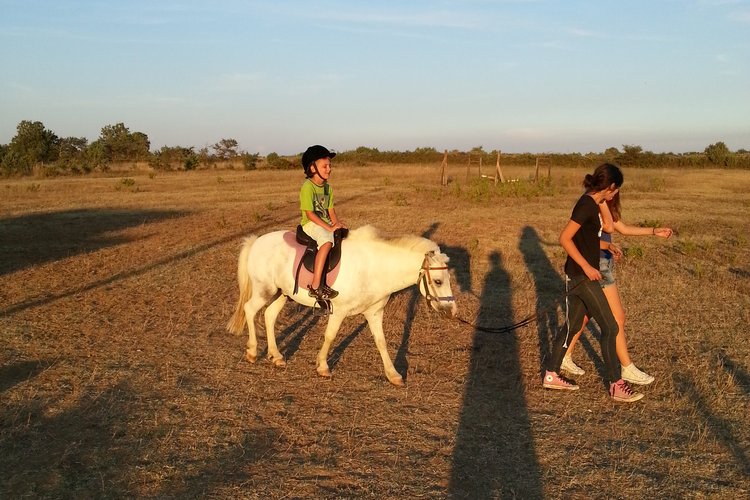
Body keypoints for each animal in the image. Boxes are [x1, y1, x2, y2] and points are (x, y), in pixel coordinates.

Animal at [226, 227, 458, 386]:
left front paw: (393, 375)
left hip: (282, 293)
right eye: (438, 281)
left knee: (269, 316)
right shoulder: (339, 311)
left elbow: (381, 342)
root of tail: (257, 241)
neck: (373, 267)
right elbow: (330, 336)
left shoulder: (374, 313)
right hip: (264, 290)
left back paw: (277, 357)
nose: (453, 311)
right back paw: (253, 352)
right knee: (249, 310)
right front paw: (322, 366)